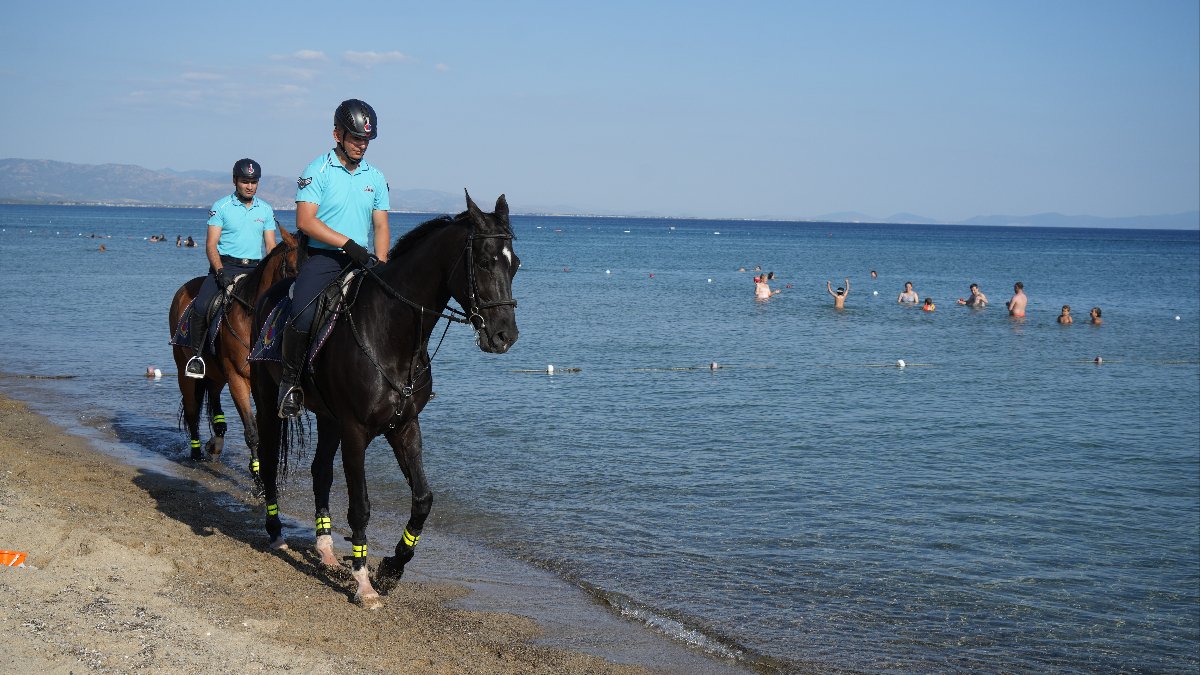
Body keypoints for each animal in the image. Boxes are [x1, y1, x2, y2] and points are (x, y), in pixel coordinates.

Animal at [168, 225, 300, 482]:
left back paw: (215, 443)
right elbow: (252, 431)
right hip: (184, 371)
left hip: (217, 373)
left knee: (214, 403)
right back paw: (196, 453)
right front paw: (258, 477)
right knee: (192, 411)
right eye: (291, 269)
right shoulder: (238, 378)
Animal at [250, 189, 518, 605]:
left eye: (515, 265)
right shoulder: (356, 432)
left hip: (328, 419)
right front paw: (364, 582)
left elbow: (423, 499)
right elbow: (360, 506)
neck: (391, 333)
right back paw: (276, 532)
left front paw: (392, 567)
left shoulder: (404, 426)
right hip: (267, 403)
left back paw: (326, 551)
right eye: (486, 262)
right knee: (267, 459)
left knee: (320, 472)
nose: (506, 335)